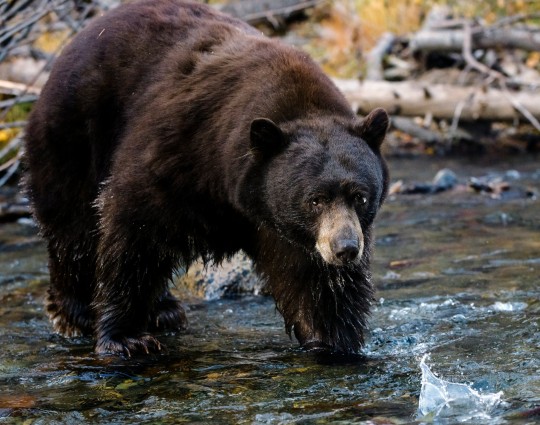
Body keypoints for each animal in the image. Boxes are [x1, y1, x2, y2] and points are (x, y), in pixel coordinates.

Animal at [24, 0, 388, 356]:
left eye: (360, 196)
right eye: (315, 200)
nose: (346, 249)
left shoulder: (288, 230)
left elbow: (317, 285)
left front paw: (333, 341)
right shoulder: (177, 151)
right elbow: (133, 230)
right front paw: (125, 337)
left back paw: (164, 309)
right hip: (74, 135)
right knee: (73, 227)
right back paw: (77, 313)